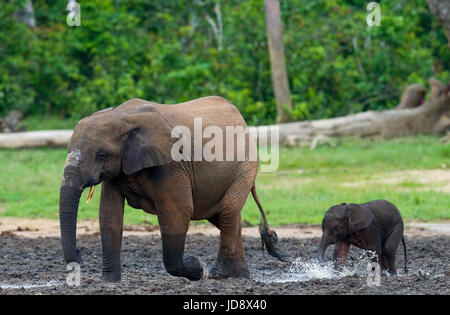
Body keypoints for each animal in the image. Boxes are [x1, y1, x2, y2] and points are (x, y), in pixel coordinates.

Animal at [59, 97, 284, 284]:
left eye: (101, 155)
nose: (79, 253)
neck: (120, 116)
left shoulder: (171, 164)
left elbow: (177, 212)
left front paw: (196, 267)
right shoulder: (118, 169)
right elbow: (109, 214)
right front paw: (109, 282)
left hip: (245, 167)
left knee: (228, 211)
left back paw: (218, 275)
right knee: (225, 216)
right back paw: (239, 277)